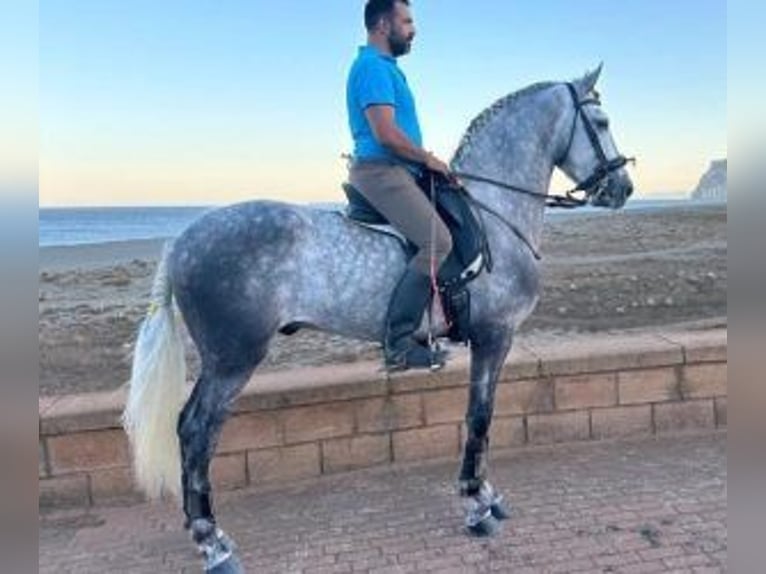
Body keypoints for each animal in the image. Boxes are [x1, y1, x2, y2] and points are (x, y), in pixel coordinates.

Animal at [123, 65, 634, 572]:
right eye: (602, 122)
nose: (624, 188)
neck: (493, 214)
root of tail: (181, 241)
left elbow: (480, 417)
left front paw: (485, 494)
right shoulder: (494, 337)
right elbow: (480, 417)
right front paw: (475, 504)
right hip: (233, 359)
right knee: (196, 432)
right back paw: (213, 542)